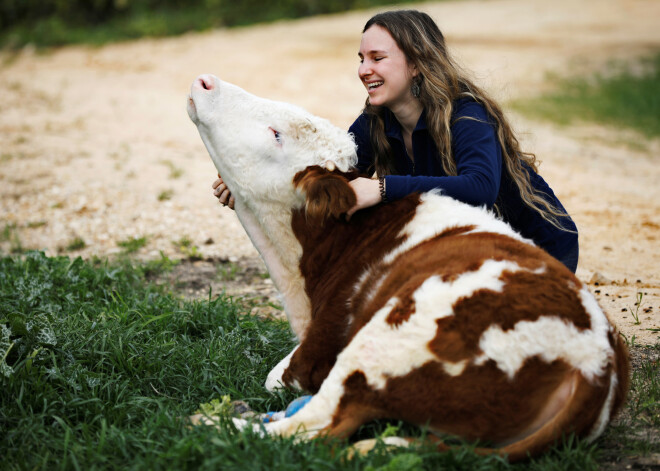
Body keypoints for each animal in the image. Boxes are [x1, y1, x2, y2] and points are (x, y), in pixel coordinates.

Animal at [186, 73, 628, 460]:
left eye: (276, 133)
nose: (205, 81)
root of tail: (596, 362)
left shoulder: (319, 347)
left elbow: (279, 377)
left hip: (386, 340)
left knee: (316, 426)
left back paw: (212, 422)